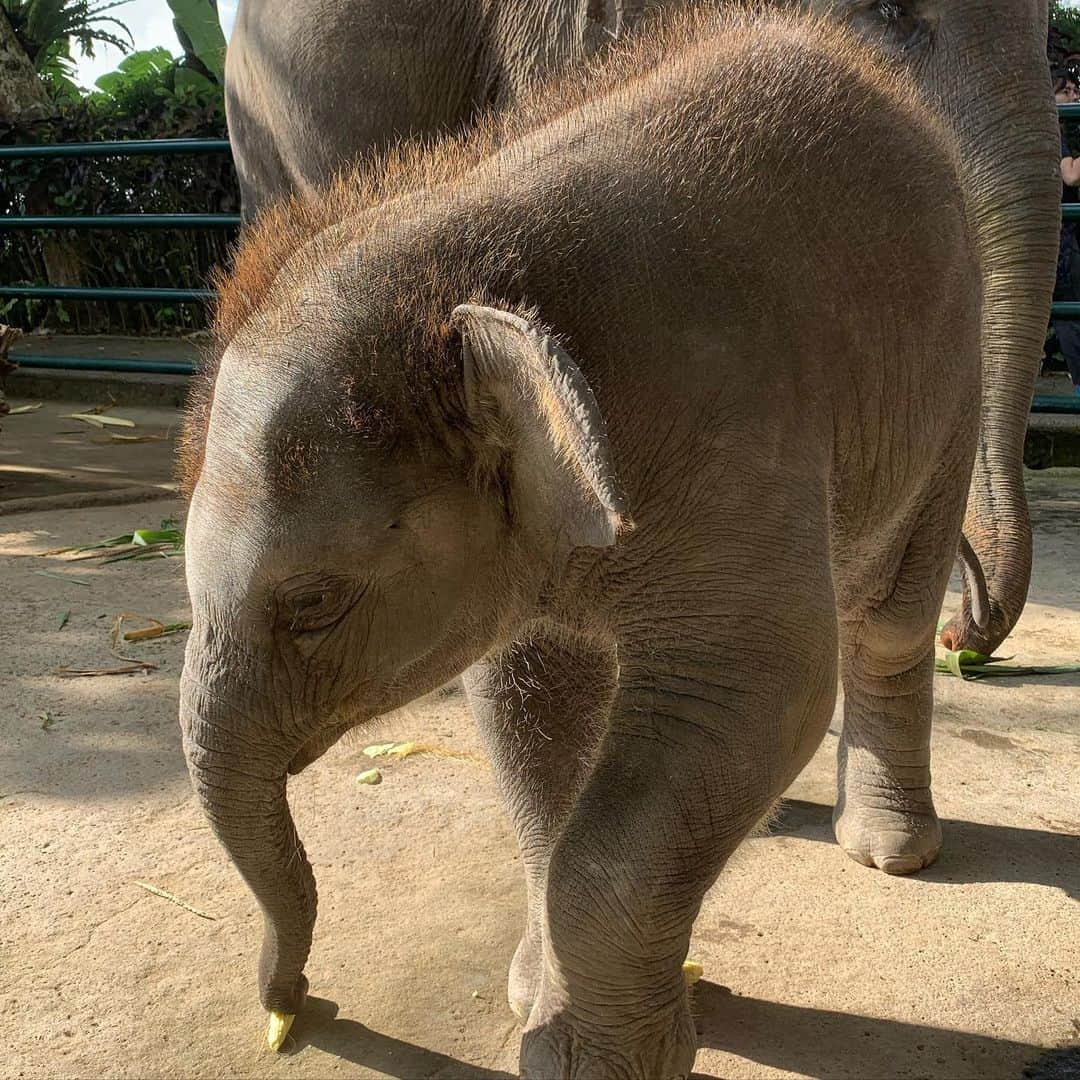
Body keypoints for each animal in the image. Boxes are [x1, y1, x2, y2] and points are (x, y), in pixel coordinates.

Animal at [181, 10, 984, 1080]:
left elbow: (761, 687)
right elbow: (528, 710)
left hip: (957, 377)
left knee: (888, 619)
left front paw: (588, 1059)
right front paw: (541, 1002)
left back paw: (891, 852)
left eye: (312, 602)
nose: (300, 1010)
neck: (454, 262)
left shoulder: (725, 424)